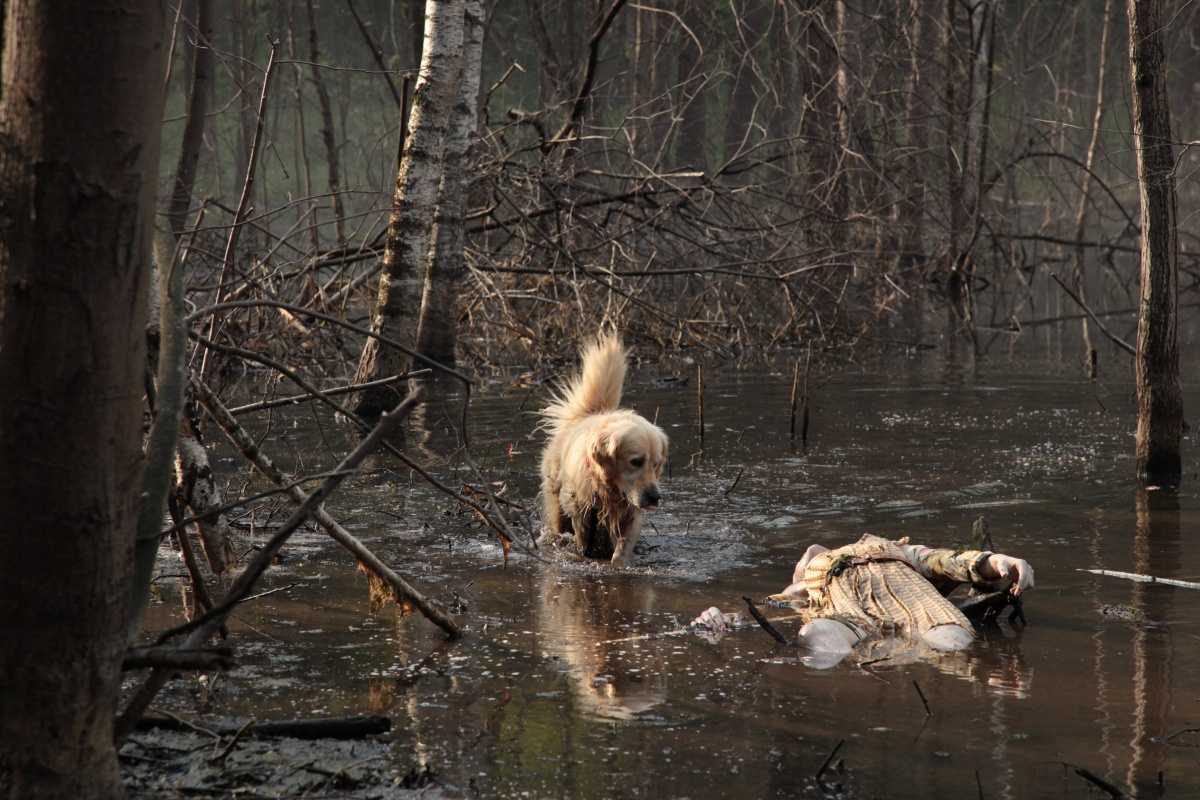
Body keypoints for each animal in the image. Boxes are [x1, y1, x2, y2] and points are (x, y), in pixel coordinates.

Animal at [542, 335, 672, 566]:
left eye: (656, 465)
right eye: (636, 461)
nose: (655, 497)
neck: (607, 491)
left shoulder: (632, 512)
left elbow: (624, 545)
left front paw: (620, 564)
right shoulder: (581, 516)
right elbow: (584, 542)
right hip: (557, 502)